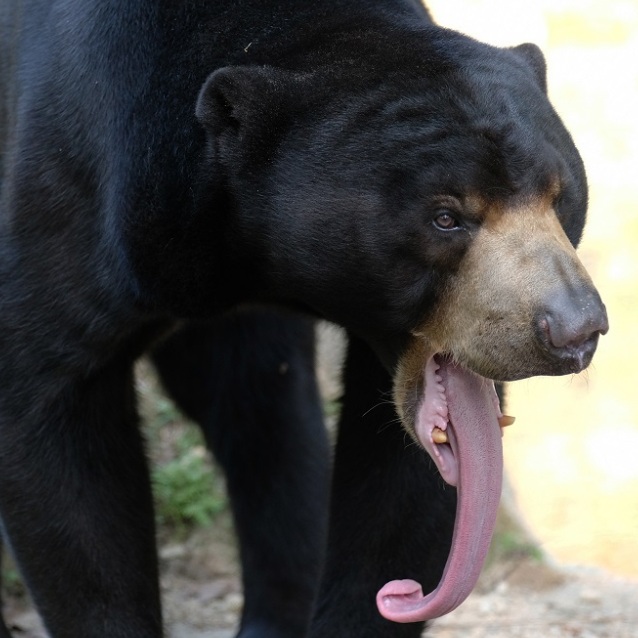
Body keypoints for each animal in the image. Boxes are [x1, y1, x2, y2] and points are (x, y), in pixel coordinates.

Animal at [0, 1, 608, 638]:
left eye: (560, 194)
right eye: (446, 217)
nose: (574, 331)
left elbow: (397, 485)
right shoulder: (89, 185)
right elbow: (55, 412)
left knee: (263, 408)